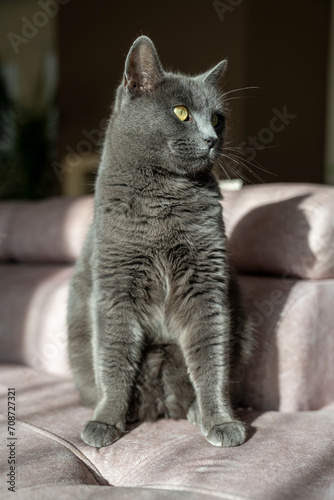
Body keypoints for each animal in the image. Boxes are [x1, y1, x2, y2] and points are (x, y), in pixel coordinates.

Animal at [67, 35, 253, 450]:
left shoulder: (207, 284)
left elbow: (212, 357)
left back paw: (195, 411)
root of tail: (163, 406)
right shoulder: (115, 287)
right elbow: (114, 357)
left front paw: (221, 421)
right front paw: (105, 421)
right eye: (181, 113)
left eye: (218, 117)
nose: (212, 139)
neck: (165, 199)